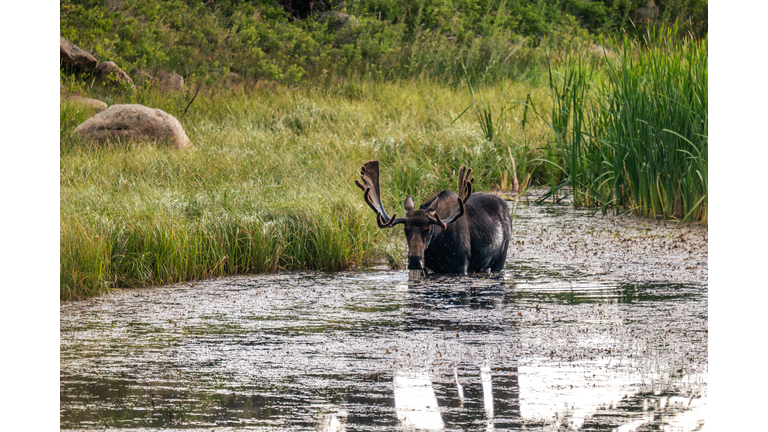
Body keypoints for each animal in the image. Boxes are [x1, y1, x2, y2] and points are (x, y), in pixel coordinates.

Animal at [355, 160, 512, 274]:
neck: (437, 248)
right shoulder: (428, 268)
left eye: (428, 230)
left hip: (501, 257)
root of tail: (505, 205)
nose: (415, 261)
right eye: (406, 230)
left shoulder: (462, 266)